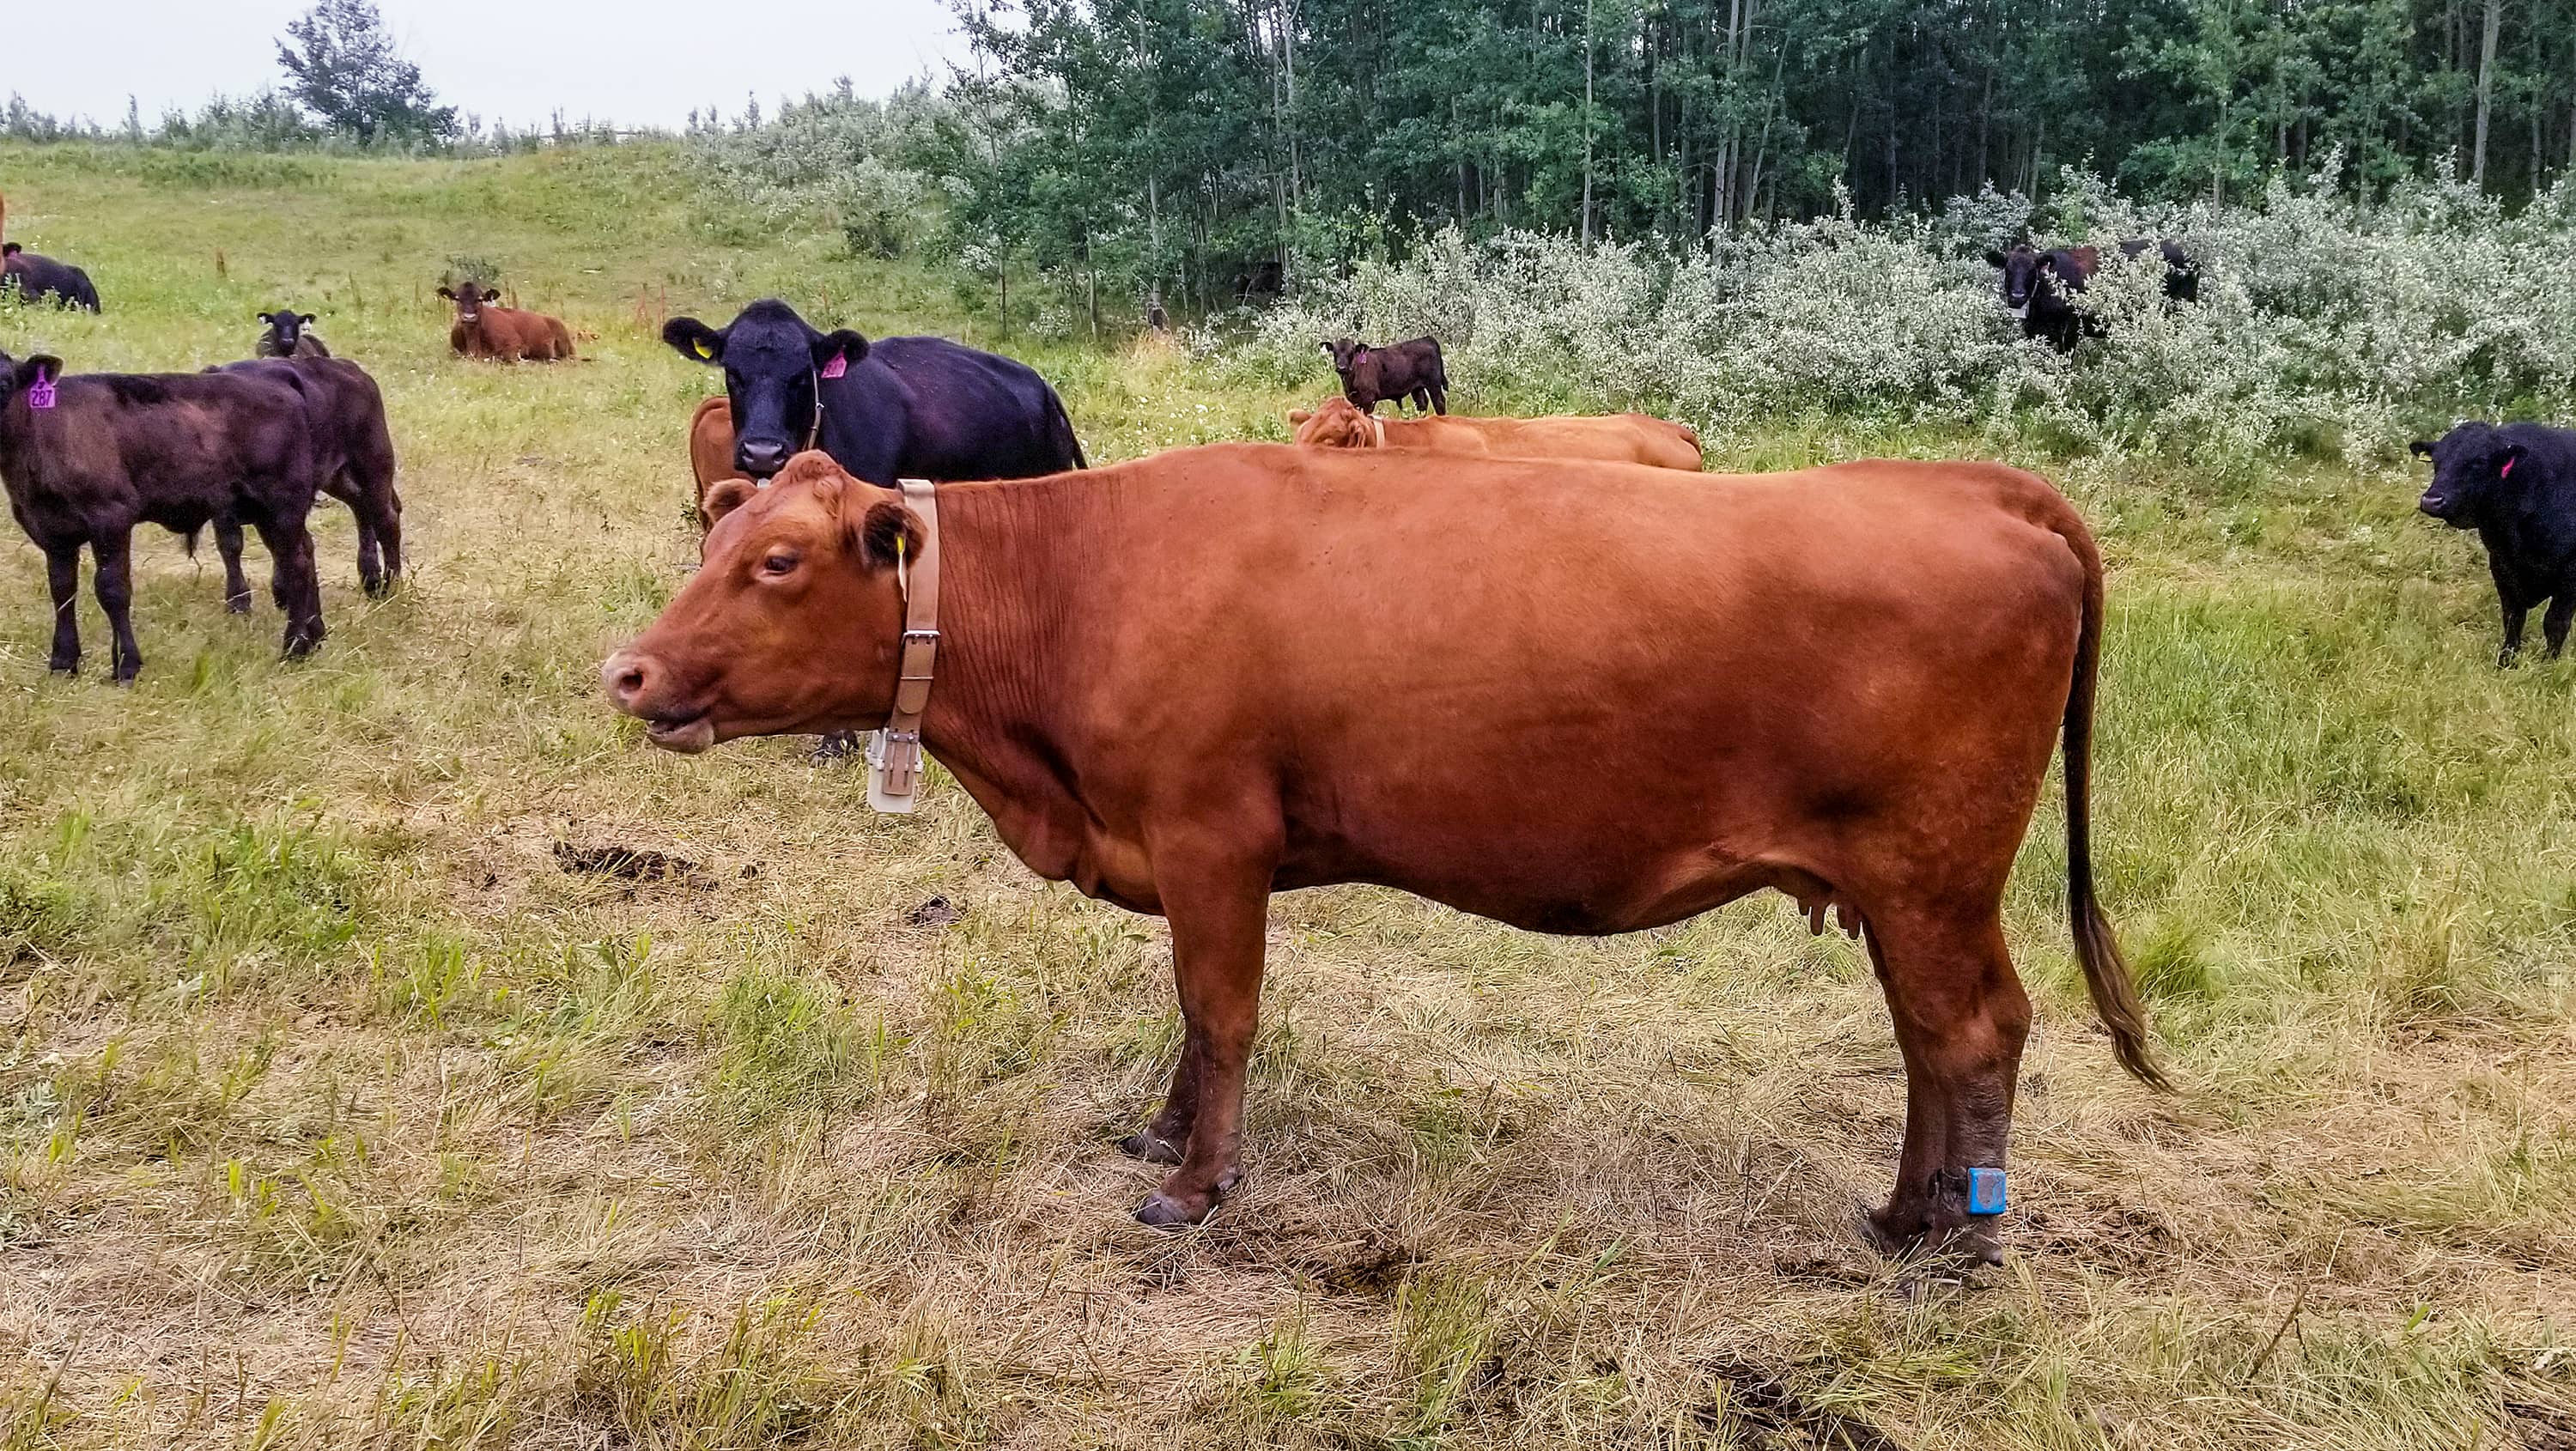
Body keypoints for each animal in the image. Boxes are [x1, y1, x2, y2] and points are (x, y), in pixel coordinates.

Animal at [0, 349, 326, 680]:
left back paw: (295, 648)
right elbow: (62, 591)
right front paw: (63, 662)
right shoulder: (51, 530)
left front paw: (127, 665)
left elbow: (112, 590)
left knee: (296, 565)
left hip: (281, 504)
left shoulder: (111, 518)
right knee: (305, 551)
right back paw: (315, 634)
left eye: (4, 382)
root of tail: (279, 382)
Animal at [206, 357, 403, 599]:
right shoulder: (222, 507)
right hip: (338, 478)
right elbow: (230, 545)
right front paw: (239, 599)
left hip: (373, 467)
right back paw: (371, 577)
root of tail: (354, 370)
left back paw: (391, 584)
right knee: (361, 507)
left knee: (386, 517)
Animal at [603, 445, 2165, 1263]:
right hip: (1899, 890)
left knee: (1975, 1031)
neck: (1079, 587)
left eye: (778, 562)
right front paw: (1164, 1131)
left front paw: (1194, 1184)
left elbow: (1222, 1013)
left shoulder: (1211, 838)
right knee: (1926, 1039)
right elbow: (1193, 1020)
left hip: (1934, 875)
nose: (626, 671)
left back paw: (1961, 1242)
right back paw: (1903, 1212)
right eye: (715, 533)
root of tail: (1974, 483)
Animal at [1323, 336, 1448, 415]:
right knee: (1422, 404)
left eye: (1351, 352)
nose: (1341, 368)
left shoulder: (1369, 400)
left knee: (1439, 403)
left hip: (1433, 383)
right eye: (1335, 352)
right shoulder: (1354, 401)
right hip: (1417, 388)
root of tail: (1427, 339)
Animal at [2411, 421, 2576, 666]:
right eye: (2436, 460)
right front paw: (2506, 661)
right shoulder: (2501, 565)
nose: (2432, 500)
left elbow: (2555, 623)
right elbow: (2513, 616)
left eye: (2479, 461)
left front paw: (2548, 664)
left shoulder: (2570, 576)